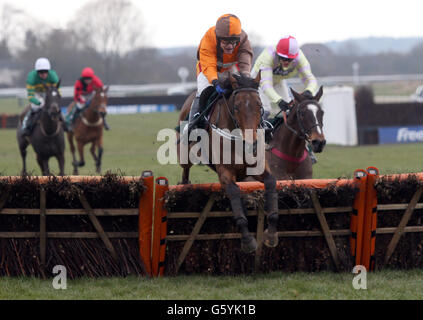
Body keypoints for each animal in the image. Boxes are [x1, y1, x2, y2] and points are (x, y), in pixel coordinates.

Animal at [176, 73, 280, 255]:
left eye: (259, 105)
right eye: (236, 107)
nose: (251, 143)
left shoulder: (258, 166)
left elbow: (271, 182)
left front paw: (271, 234)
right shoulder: (225, 171)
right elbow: (233, 191)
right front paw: (247, 240)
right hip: (185, 155)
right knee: (185, 171)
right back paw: (185, 185)